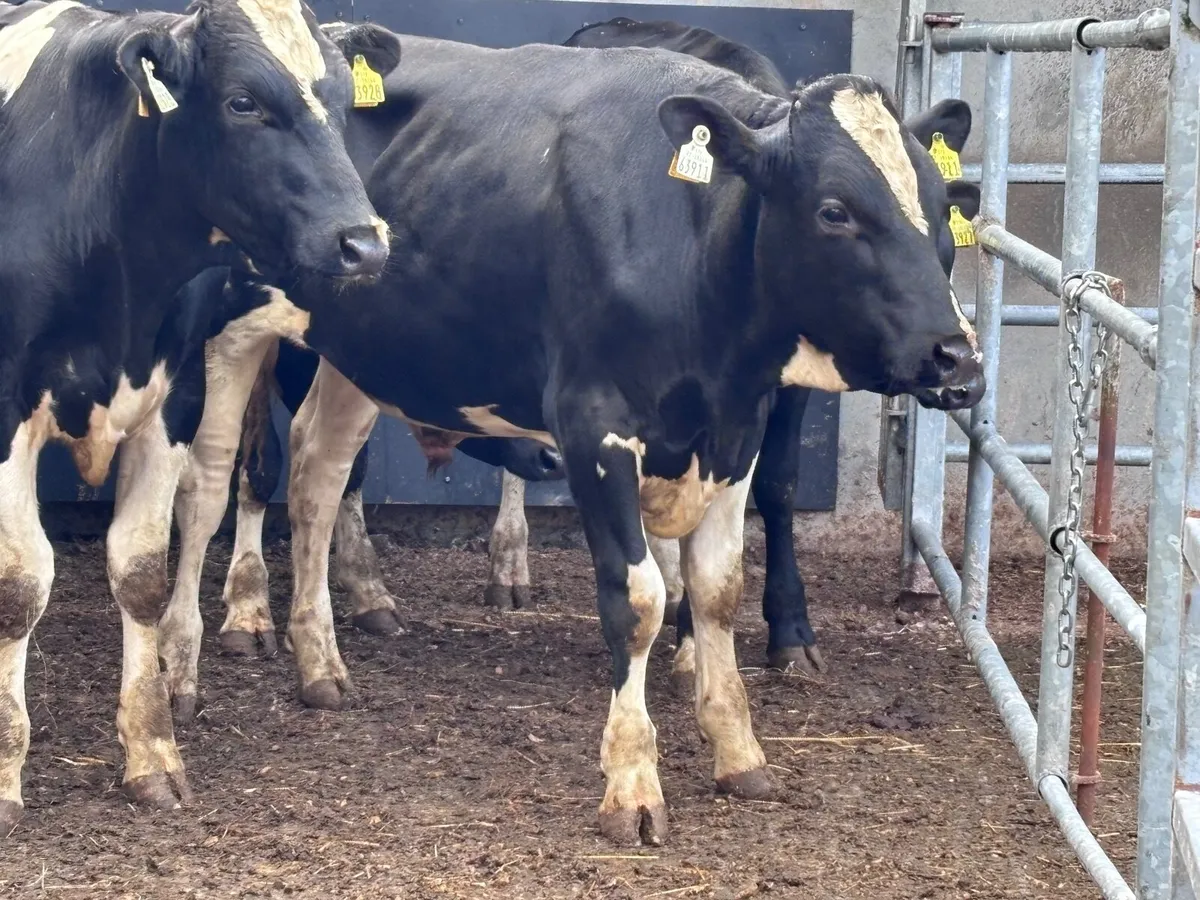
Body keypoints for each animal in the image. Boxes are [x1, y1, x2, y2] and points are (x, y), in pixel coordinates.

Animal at [0, 0, 401, 834]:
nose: (365, 242)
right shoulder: (3, 412)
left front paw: (153, 752)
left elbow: (142, 573)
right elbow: (19, 587)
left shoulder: (174, 399)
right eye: (243, 102)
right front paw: (5, 776)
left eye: (342, 97)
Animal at [153, 29, 986, 846]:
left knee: (319, 481)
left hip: (359, 353)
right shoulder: (595, 426)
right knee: (211, 486)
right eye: (835, 210)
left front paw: (738, 749)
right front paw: (633, 782)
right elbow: (639, 598)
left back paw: (320, 664)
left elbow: (718, 591)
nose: (959, 355)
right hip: (232, 329)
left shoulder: (736, 432)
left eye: (941, 206)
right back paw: (183, 668)